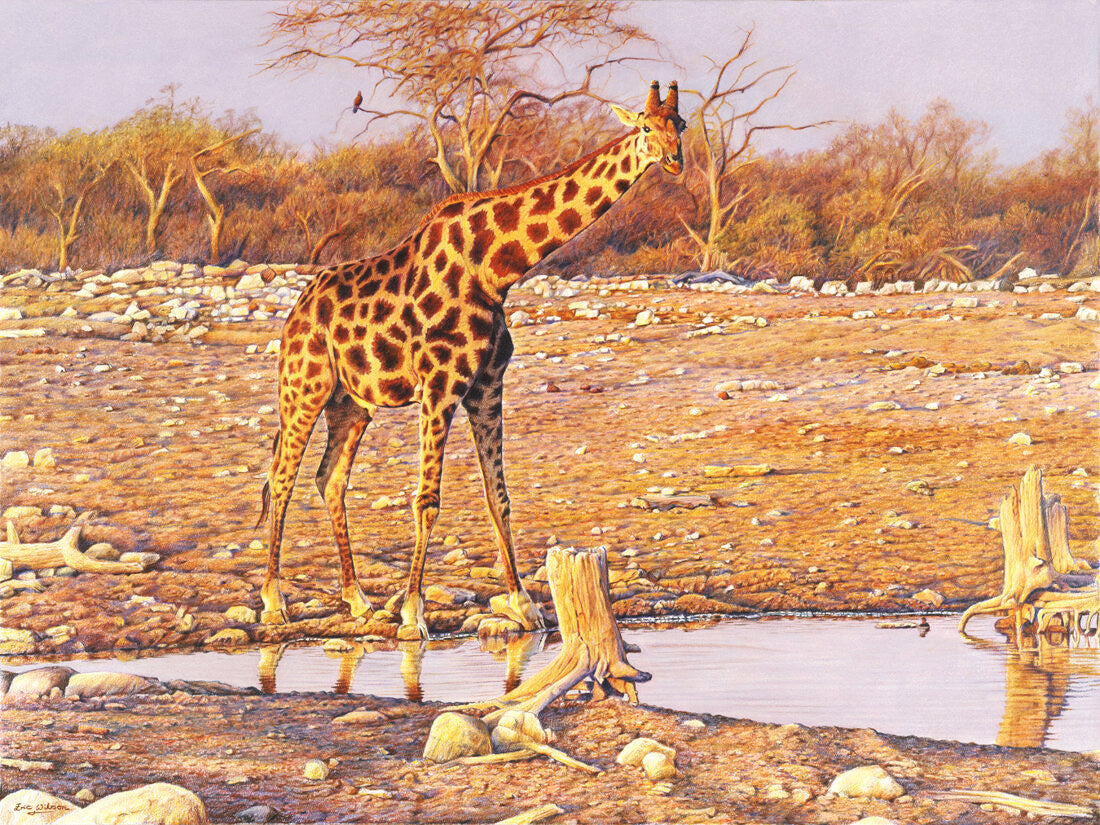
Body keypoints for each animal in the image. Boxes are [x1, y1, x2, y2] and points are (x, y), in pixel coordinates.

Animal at [258, 80, 685, 640]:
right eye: (644, 126)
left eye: (681, 125)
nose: (675, 160)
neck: (497, 268)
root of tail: (296, 313)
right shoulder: (441, 382)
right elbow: (427, 499)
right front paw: (413, 614)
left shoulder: (486, 383)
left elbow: (496, 494)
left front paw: (525, 606)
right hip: (304, 387)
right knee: (281, 479)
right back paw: (273, 601)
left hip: (350, 404)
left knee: (329, 479)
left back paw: (357, 601)